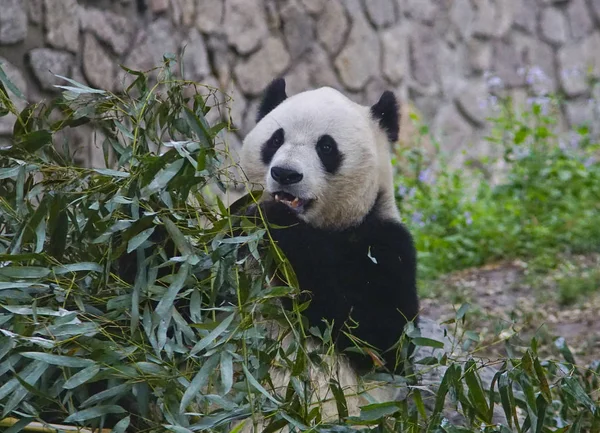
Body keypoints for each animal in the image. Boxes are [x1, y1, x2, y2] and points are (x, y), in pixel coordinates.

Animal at [237, 78, 420, 374]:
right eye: (276, 139)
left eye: (326, 147)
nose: (286, 174)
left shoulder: (387, 244)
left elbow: (380, 332)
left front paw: (275, 219)